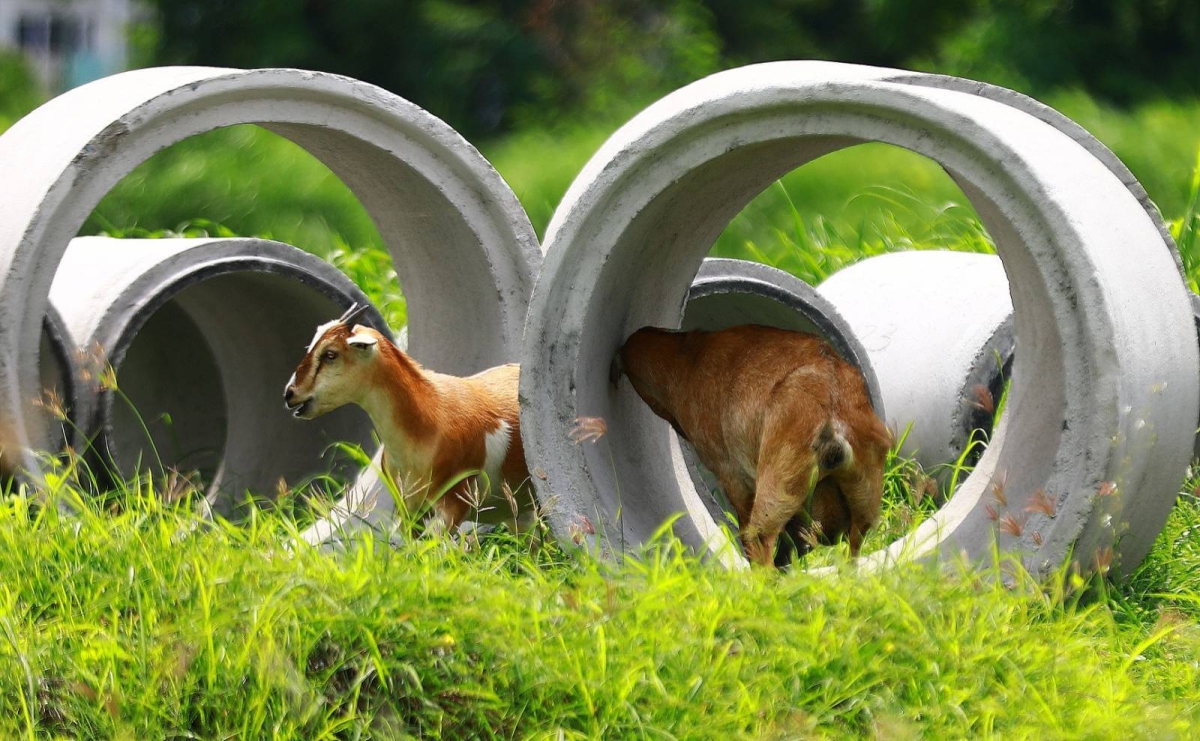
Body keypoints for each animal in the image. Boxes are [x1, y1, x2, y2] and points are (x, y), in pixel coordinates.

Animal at [614, 324, 892, 566]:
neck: (688, 358)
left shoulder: (731, 474)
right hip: (863, 499)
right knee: (851, 550)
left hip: (776, 491)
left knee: (761, 543)